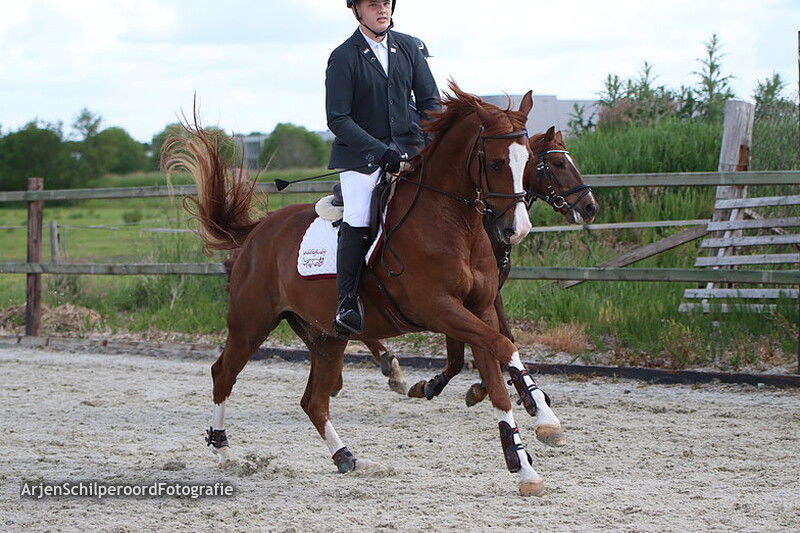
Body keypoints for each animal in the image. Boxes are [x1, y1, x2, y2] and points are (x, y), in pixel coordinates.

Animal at [164, 82, 558, 496]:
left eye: (529, 162)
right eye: (496, 163)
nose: (516, 229)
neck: (455, 224)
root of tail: (258, 230)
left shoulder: (479, 309)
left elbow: (499, 371)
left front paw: (526, 462)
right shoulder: (438, 308)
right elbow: (503, 346)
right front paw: (546, 422)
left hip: (326, 338)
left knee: (314, 401)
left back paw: (348, 458)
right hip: (250, 323)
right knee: (223, 374)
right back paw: (224, 451)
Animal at [356, 127, 597, 412]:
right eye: (558, 163)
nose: (590, 207)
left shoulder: (490, 292)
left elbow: (503, 337)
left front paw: (522, 391)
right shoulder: (451, 298)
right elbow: (464, 351)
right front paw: (444, 384)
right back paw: (388, 365)